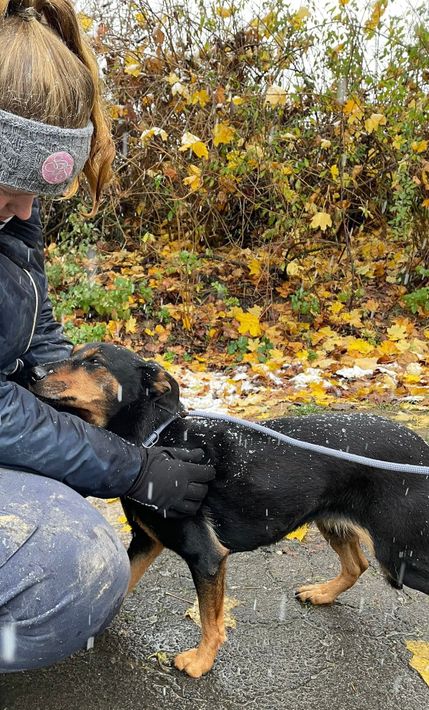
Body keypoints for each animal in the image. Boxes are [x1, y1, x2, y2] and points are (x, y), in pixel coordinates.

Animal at [29, 342, 429, 677]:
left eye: (95, 362)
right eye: (73, 354)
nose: (32, 372)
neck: (156, 441)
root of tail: (421, 448)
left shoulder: (206, 556)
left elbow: (210, 620)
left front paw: (200, 662)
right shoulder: (147, 539)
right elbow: (125, 580)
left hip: (401, 554)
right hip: (336, 522)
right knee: (357, 564)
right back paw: (322, 593)